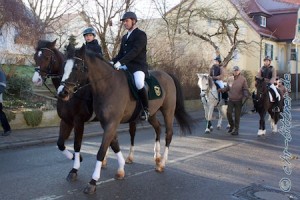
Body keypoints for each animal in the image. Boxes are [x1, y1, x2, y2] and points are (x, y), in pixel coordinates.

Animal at [31, 39, 138, 182]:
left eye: (47, 57)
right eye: (35, 57)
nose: (36, 80)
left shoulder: (78, 121)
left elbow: (77, 144)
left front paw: (75, 169)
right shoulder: (66, 120)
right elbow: (60, 144)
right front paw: (76, 158)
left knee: (131, 134)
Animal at [57, 45, 193, 194]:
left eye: (77, 67)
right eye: (63, 66)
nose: (62, 93)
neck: (108, 85)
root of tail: (167, 74)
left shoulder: (107, 123)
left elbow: (100, 150)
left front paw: (92, 181)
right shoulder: (104, 123)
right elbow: (114, 144)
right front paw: (121, 169)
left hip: (168, 111)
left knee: (168, 134)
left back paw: (162, 163)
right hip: (152, 114)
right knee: (158, 128)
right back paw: (157, 157)